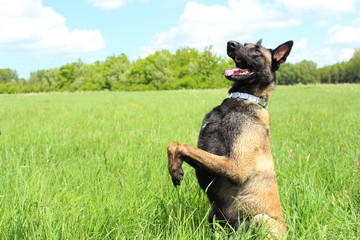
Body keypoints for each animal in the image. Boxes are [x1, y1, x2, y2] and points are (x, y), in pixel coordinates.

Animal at [167, 39, 294, 238]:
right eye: (245, 43)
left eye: (256, 50)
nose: (231, 43)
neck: (243, 98)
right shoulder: (207, 160)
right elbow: (174, 145)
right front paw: (174, 169)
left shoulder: (236, 167)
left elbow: (183, 146)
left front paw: (175, 171)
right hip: (214, 215)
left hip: (261, 218)